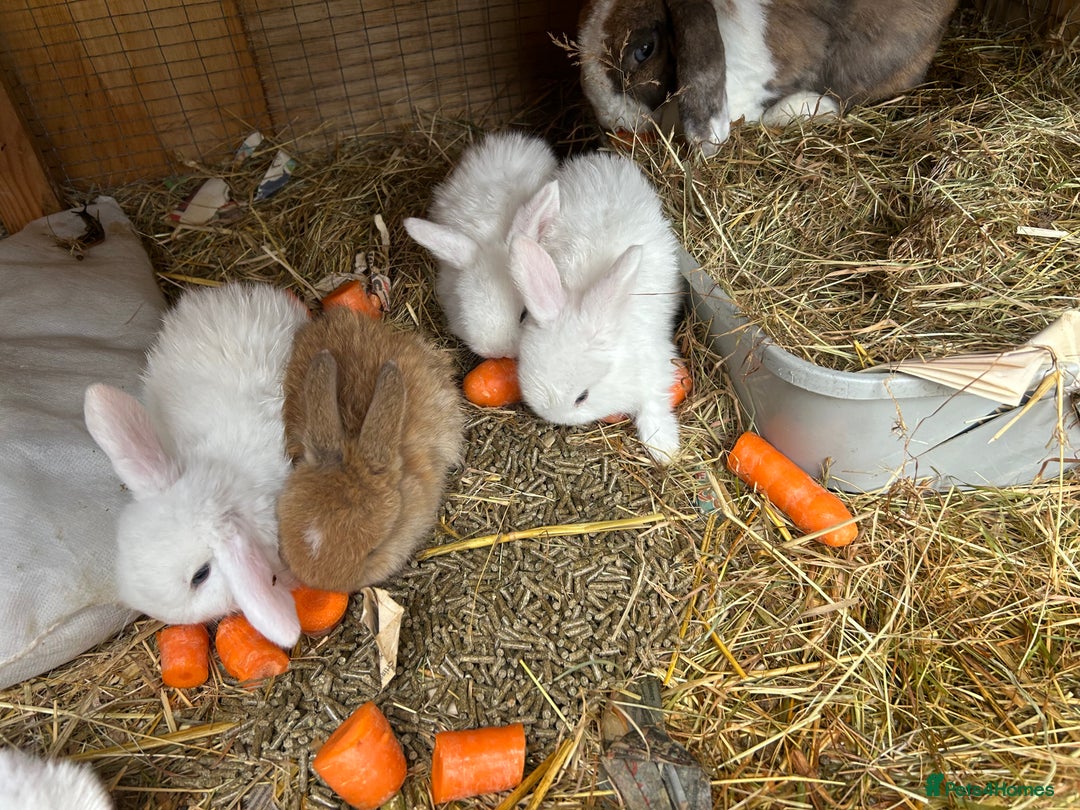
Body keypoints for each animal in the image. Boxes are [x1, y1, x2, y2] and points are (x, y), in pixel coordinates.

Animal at [508, 151, 684, 465]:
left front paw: (663, 448)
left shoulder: (656, 366)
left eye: (582, 397)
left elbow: (653, 404)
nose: (558, 418)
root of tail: (603, 159)